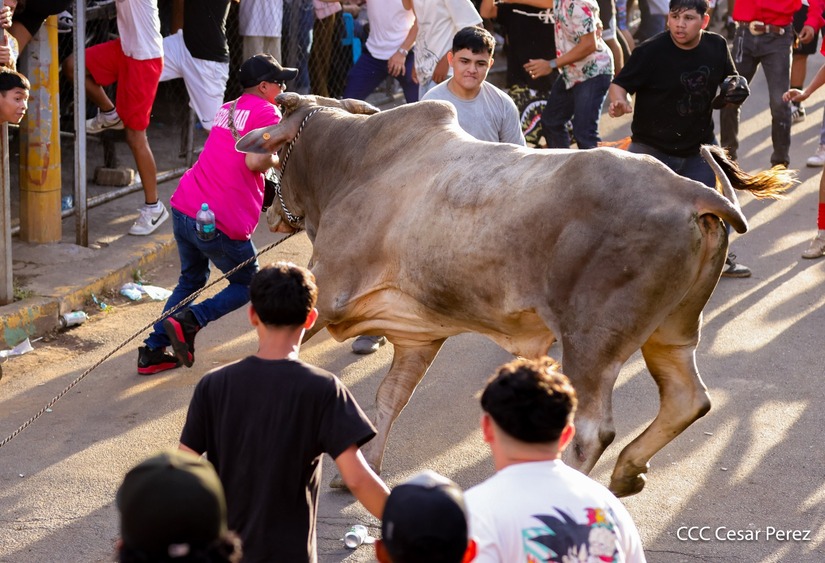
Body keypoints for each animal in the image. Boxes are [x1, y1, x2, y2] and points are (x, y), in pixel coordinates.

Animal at [237, 93, 792, 497]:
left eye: (278, 157)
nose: (272, 212)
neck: (353, 162)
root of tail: (690, 191)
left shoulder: (326, 289)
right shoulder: (419, 336)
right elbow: (390, 396)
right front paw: (361, 471)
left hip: (592, 338)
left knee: (592, 430)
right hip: (672, 328)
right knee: (686, 399)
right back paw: (629, 471)